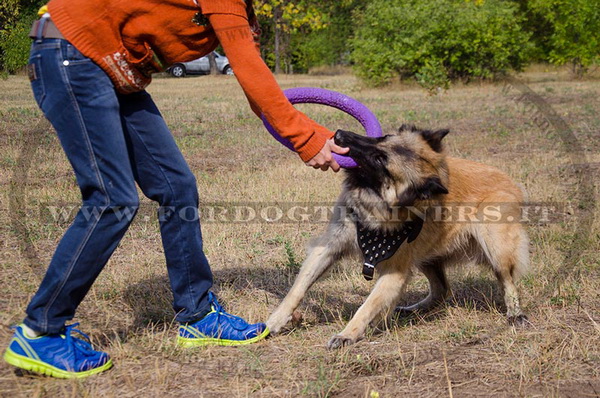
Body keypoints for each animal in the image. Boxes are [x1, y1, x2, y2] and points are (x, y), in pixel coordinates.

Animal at [264, 124, 528, 348]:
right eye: (383, 137)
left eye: (380, 160)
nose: (339, 134)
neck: (374, 205)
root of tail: (511, 182)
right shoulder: (329, 248)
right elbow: (297, 289)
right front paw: (273, 322)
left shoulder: (393, 272)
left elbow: (367, 306)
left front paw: (347, 334)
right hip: (427, 258)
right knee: (442, 290)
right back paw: (413, 309)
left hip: (495, 249)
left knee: (506, 280)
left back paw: (515, 314)